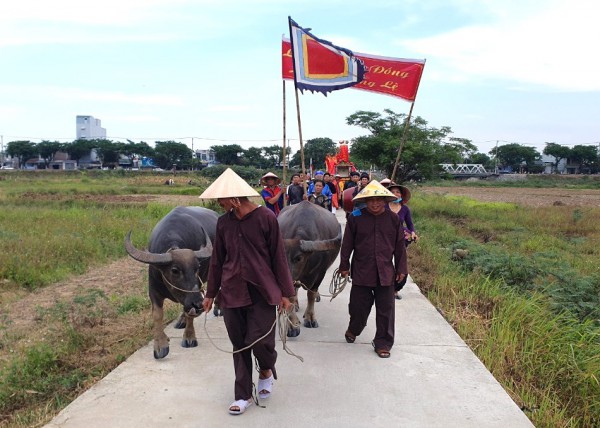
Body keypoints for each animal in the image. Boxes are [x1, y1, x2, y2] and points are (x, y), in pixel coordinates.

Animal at [123, 206, 217, 360]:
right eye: (175, 270)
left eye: (197, 267)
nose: (199, 304)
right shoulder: (153, 290)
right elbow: (157, 314)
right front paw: (160, 345)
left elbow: (190, 314)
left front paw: (189, 337)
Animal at [278, 201, 340, 338]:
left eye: (298, 258)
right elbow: (290, 297)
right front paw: (292, 326)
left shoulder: (320, 272)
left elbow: (311, 294)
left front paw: (310, 318)